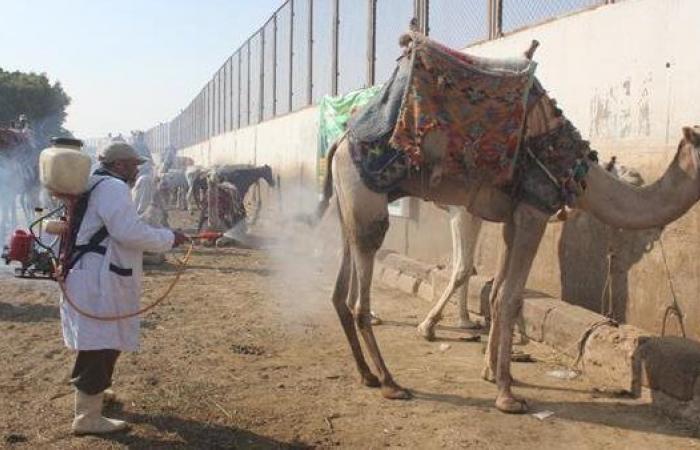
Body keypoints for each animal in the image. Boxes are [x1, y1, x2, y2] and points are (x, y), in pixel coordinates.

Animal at [322, 33, 700, 414]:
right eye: (632, 175)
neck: (575, 171)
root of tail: (339, 143)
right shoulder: (535, 209)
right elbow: (509, 296)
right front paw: (506, 393)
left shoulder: (511, 218)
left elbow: (497, 292)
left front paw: (491, 372)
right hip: (368, 200)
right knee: (360, 297)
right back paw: (390, 382)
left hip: (349, 207)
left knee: (341, 293)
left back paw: (367, 375)